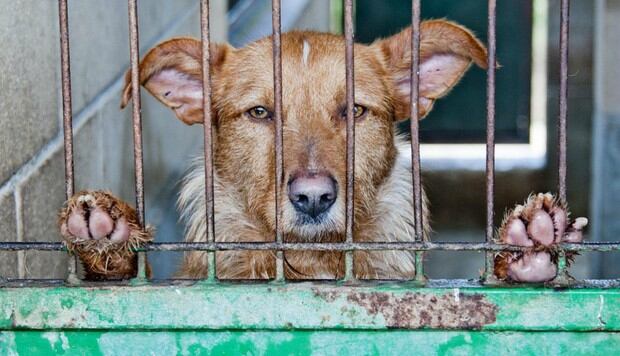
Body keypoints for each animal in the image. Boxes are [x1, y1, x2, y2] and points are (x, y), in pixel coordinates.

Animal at [55, 19, 584, 282]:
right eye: (260, 113)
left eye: (354, 110)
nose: (313, 198)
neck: (312, 264)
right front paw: (108, 241)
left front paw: (523, 251)